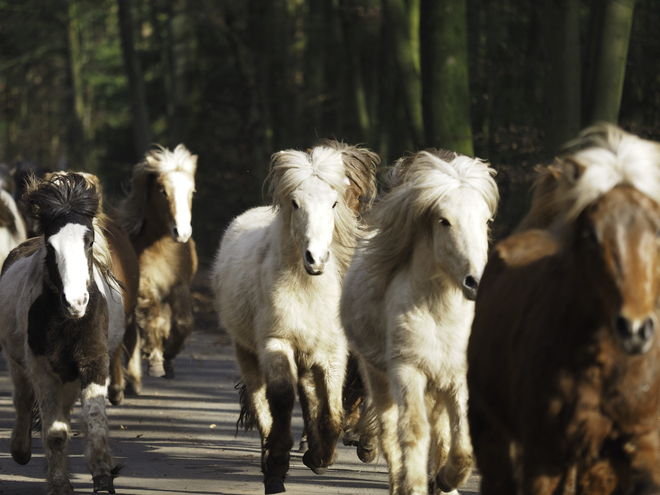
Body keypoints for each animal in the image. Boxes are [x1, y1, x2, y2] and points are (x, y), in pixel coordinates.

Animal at [0, 172, 125, 494]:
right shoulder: (42, 368)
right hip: (18, 363)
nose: (75, 302)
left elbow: (94, 421)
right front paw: (58, 484)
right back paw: (20, 451)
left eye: (89, 240)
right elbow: (55, 433)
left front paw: (103, 476)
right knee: (23, 399)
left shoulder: (94, 363)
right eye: (51, 245)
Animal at [213, 145, 364, 494]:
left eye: (334, 202)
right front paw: (276, 467)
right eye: (295, 203)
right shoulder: (276, 344)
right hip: (247, 352)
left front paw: (320, 458)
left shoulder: (332, 351)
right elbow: (281, 399)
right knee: (260, 401)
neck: (306, 289)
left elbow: (332, 411)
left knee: (309, 394)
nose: (316, 259)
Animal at [340, 150, 500, 495]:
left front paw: (446, 479)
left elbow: (462, 442)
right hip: (379, 377)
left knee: (440, 429)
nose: (476, 282)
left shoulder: (457, 376)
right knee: (390, 433)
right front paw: (414, 485)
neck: (441, 315)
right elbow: (412, 431)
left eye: (485, 221)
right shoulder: (408, 372)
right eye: (444, 221)